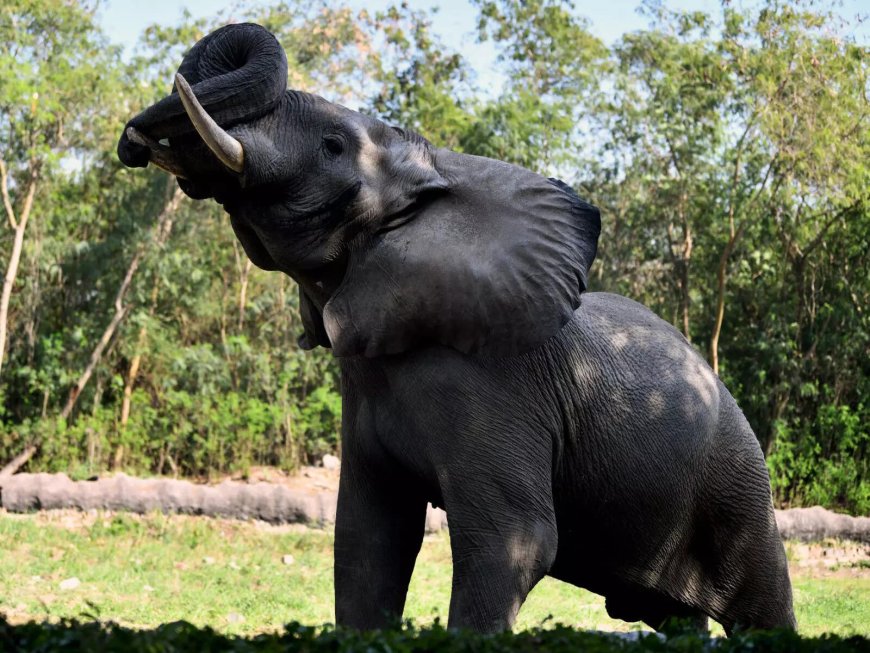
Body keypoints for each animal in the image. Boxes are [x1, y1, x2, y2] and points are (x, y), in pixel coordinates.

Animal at [117, 23, 796, 635]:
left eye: (332, 145)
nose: (134, 141)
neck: (436, 177)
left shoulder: (497, 390)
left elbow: (514, 539)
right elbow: (368, 539)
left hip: (738, 485)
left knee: (762, 606)